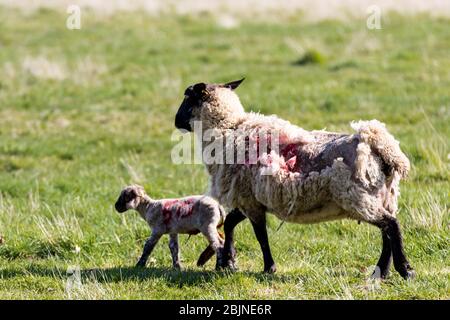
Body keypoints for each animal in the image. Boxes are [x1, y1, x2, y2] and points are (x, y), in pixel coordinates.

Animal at [175, 79, 414, 278]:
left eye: (188, 97)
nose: (176, 121)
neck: (229, 129)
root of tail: (379, 146)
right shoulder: (251, 198)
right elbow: (232, 223)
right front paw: (227, 260)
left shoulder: (249, 200)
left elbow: (260, 235)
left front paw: (268, 267)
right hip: (382, 197)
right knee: (387, 232)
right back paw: (381, 272)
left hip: (359, 197)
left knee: (391, 225)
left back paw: (404, 269)